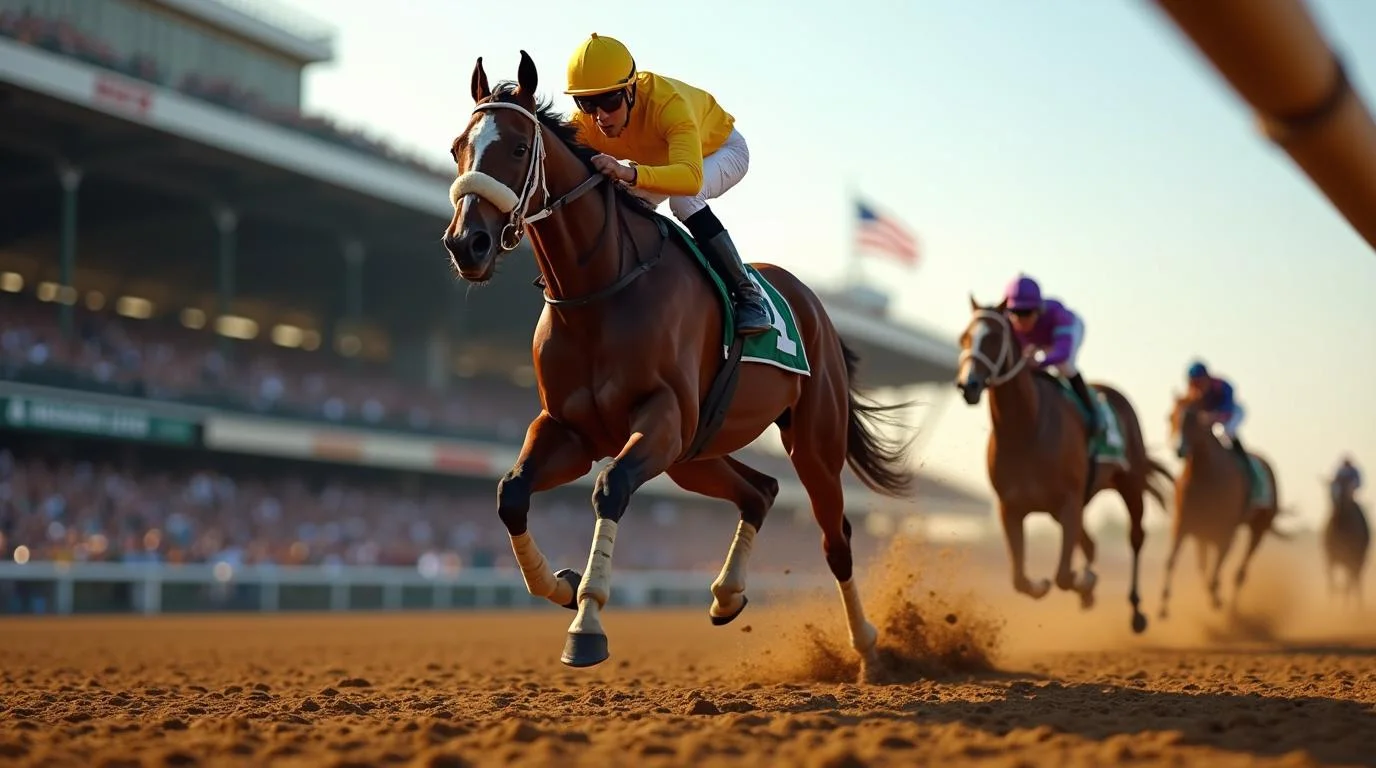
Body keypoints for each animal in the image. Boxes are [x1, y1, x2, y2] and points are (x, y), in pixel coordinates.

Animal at [440, 51, 914, 680]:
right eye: (457, 148)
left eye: (518, 148)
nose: (466, 244)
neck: (600, 293)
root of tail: (816, 307)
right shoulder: (569, 429)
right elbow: (510, 492)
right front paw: (562, 585)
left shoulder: (661, 418)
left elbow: (611, 487)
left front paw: (586, 625)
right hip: (695, 453)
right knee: (761, 491)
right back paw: (727, 595)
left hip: (811, 444)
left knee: (834, 537)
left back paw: (867, 649)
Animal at [955, 298, 1173, 634]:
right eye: (964, 338)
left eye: (992, 338)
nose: (968, 384)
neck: (1026, 429)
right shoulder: (1010, 507)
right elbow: (1020, 579)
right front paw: (1060, 584)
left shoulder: (1069, 501)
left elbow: (1062, 576)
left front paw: (1084, 581)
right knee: (1091, 544)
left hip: (1129, 484)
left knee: (1135, 537)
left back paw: (1136, 610)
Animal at [1159, 393, 1285, 617]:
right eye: (1170, 417)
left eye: (1193, 419)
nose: (1179, 449)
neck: (1205, 473)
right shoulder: (1184, 524)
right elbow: (1173, 560)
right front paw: (1163, 605)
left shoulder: (1226, 532)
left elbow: (1215, 571)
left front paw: (1217, 600)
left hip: (1259, 528)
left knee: (1240, 572)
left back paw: (1233, 607)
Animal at [1323, 474, 1369, 607]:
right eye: (1331, 486)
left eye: (1344, 486)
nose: (1335, 500)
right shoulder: (1331, 558)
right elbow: (1332, 583)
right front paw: (1328, 607)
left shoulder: (1351, 558)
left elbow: (1347, 585)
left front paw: (1345, 609)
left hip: (1358, 560)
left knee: (1355, 580)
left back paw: (1358, 606)